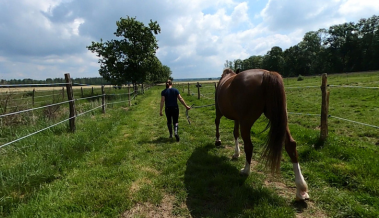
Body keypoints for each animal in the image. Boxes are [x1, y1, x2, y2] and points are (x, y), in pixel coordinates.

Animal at [217, 69, 308, 200]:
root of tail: (267, 73)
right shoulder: (237, 119)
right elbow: (235, 133)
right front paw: (236, 153)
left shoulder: (220, 112)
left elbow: (218, 123)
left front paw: (218, 141)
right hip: (279, 118)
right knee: (291, 144)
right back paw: (301, 189)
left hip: (246, 122)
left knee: (249, 146)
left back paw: (246, 171)